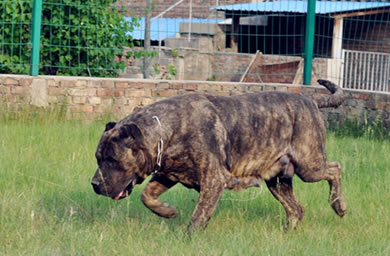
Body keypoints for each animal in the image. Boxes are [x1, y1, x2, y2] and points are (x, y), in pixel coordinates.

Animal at [92, 79, 348, 230]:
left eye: (112, 159)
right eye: (97, 157)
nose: (94, 184)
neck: (167, 131)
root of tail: (309, 98)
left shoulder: (213, 180)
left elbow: (198, 217)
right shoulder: (167, 174)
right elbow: (147, 196)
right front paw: (167, 212)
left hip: (309, 165)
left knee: (335, 168)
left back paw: (339, 205)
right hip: (277, 180)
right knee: (296, 208)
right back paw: (288, 231)